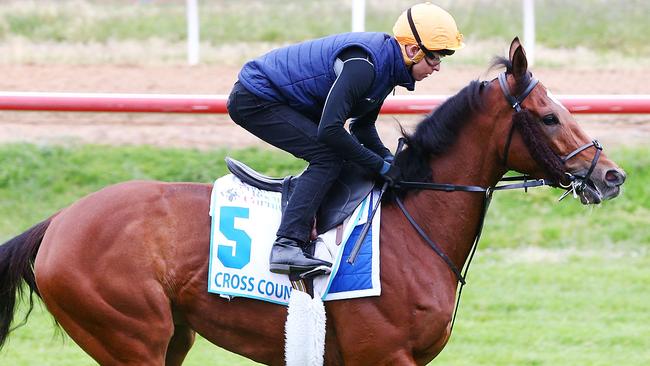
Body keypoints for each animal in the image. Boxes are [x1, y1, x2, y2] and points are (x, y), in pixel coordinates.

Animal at [0, 38, 624, 364]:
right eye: (549, 116)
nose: (612, 175)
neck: (414, 222)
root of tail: (58, 222)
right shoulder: (383, 355)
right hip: (131, 336)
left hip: (171, 336)